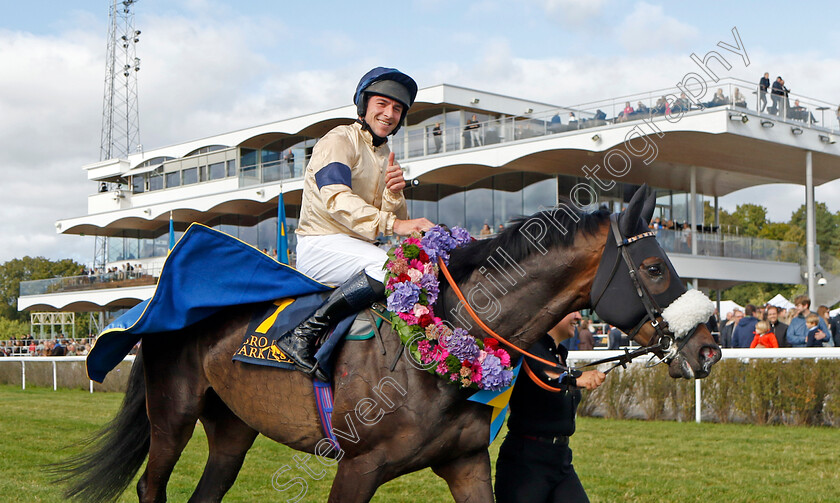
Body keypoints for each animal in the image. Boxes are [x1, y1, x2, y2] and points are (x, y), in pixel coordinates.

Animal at [60, 186, 720, 503]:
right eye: (656, 268)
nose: (709, 348)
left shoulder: (466, 463)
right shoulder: (357, 467)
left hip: (233, 429)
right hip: (172, 415)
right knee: (151, 486)